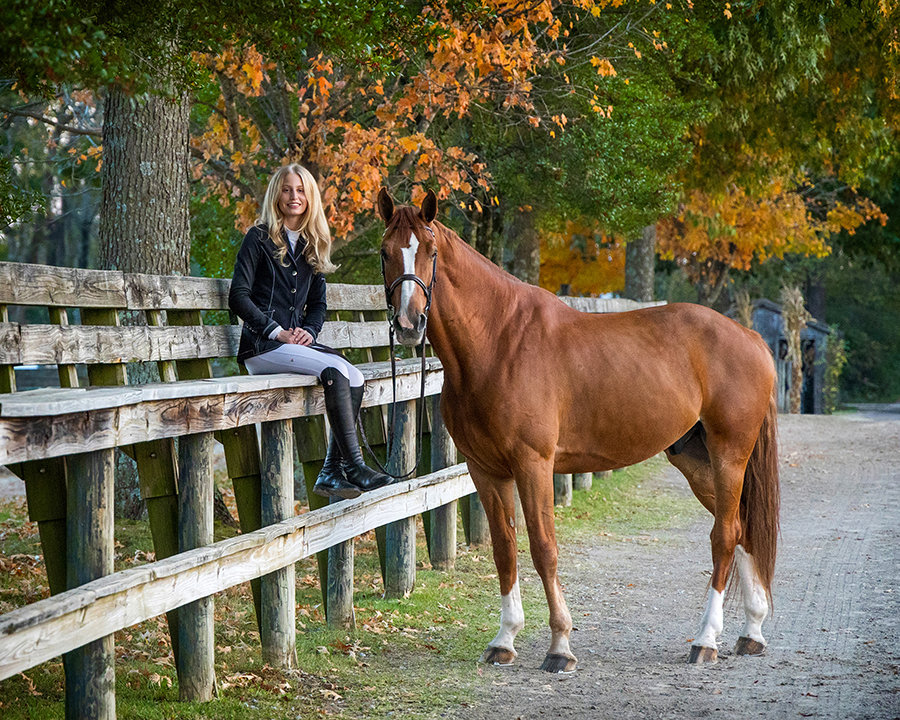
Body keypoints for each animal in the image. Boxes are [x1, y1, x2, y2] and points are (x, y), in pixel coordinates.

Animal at [376, 188, 780, 672]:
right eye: (385, 252)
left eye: (430, 251)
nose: (408, 324)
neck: (498, 342)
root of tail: (750, 338)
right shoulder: (486, 471)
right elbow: (504, 548)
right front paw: (504, 639)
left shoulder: (533, 465)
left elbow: (543, 548)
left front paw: (560, 646)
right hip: (696, 460)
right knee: (740, 527)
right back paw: (752, 631)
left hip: (728, 455)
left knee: (723, 536)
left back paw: (705, 640)